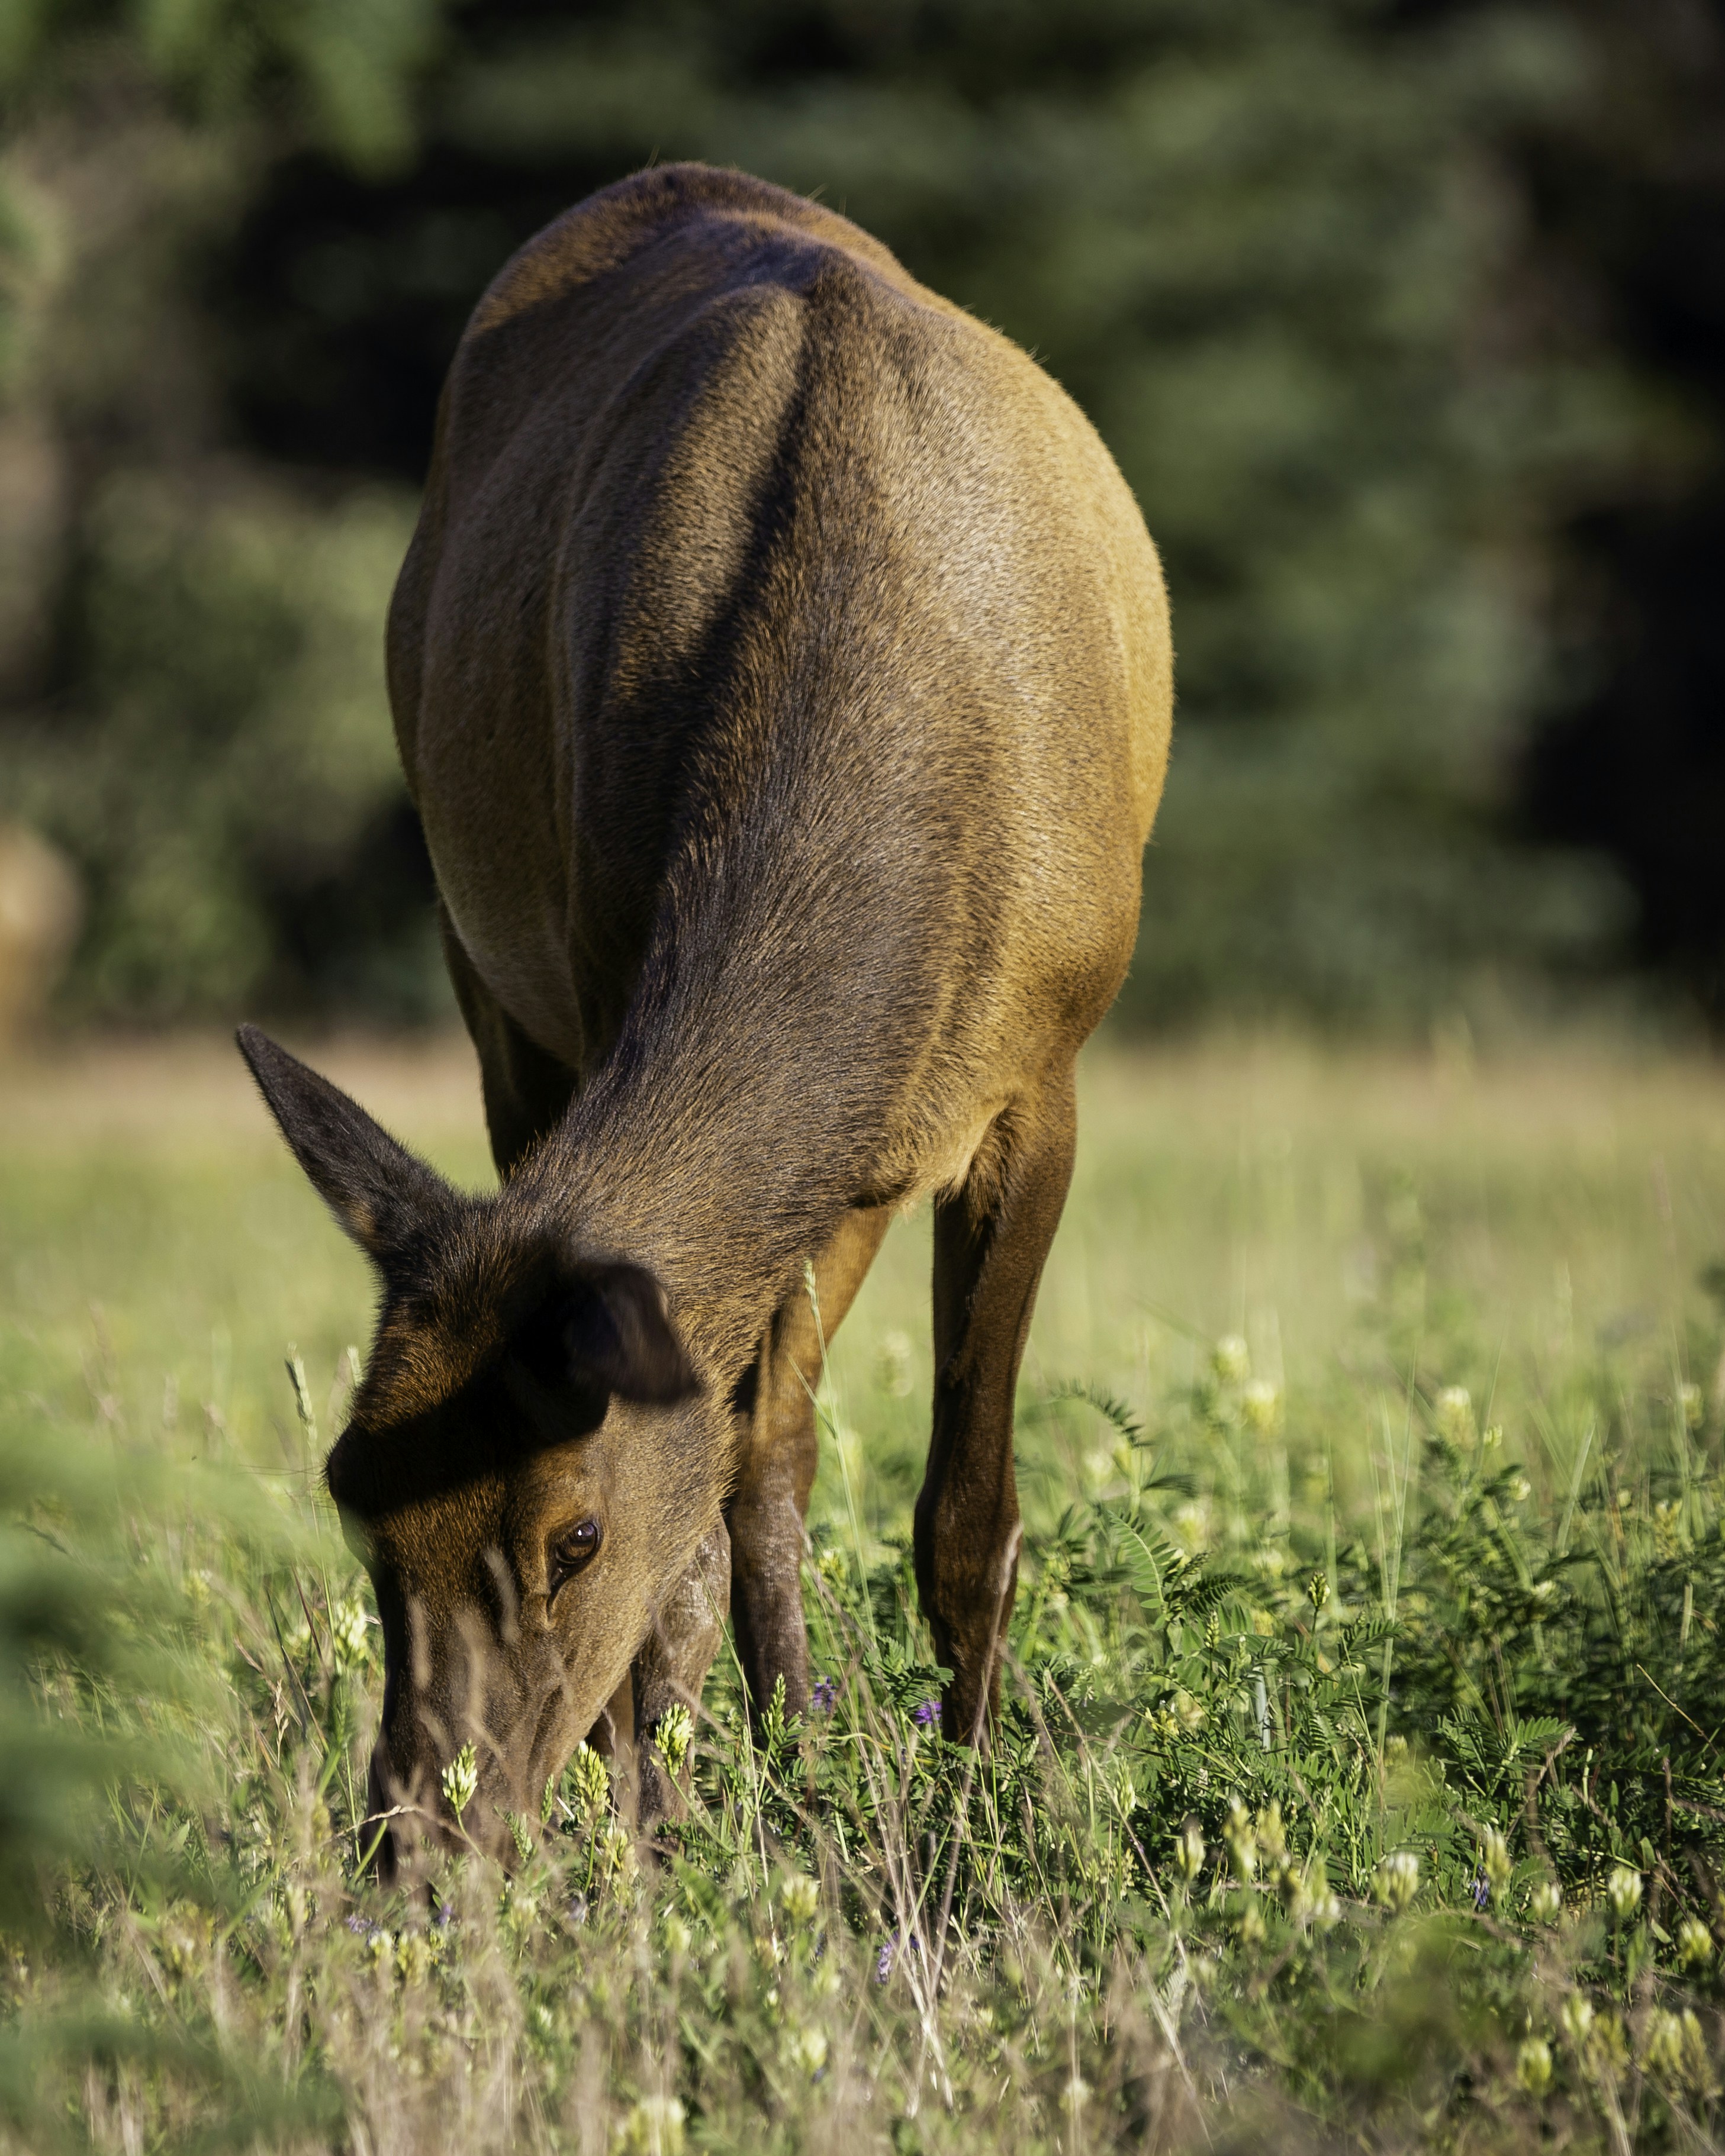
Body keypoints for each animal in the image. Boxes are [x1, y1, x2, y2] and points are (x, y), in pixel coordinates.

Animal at [238, 163, 1171, 1873]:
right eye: (354, 1493)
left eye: (570, 1530)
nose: (417, 1839)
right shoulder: (597, 972)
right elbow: (722, 1496)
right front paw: (661, 1818)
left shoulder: (1045, 1068)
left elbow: (965, 1509)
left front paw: (967, 1823)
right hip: (495, 978)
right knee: (763, 1446)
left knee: (776, 1439)